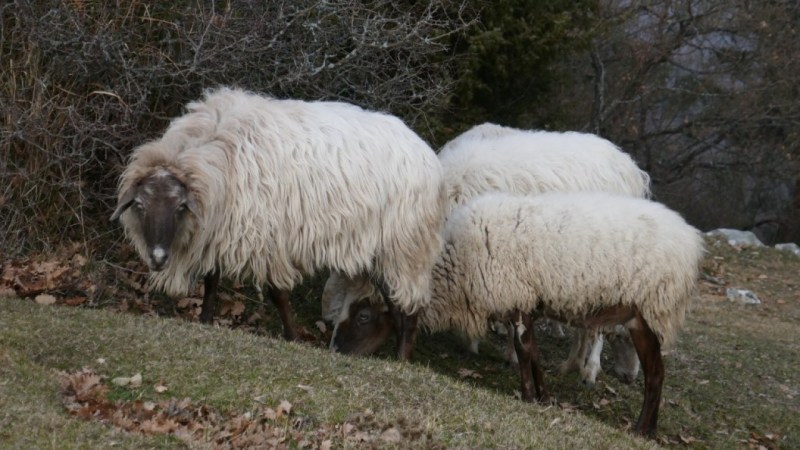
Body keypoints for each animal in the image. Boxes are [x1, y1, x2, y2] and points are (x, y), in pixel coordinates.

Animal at [111, 86, 450, 356]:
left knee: (407, 310)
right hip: (383, 251)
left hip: (405, 248)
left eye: (181, 206)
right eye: (139, 205)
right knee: (394, 306)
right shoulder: (221, 229)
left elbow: (277, 295)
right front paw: (205, 321)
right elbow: (212, 281)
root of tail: (425, 151)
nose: (157, 258)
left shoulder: (269, 239)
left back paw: (401, 360)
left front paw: (292, 337)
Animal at [324, 121, 648, 382]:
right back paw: (573, 362)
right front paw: (477, 341)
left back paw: (589, 367)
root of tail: (628, 163)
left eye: (363, 315)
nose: (334, 348)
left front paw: (507, 351)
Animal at [334, 192, 704, 438]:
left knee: (656, 374)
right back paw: (649, 429)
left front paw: (528, 397)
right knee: (656, 373)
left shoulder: (516, 294)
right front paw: (545, 397)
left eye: (363, 316)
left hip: (651, 311)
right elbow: (534, 353)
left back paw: (642, 430)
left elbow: (524, 351)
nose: (335, 349)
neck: (455, 265)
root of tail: (692, 241)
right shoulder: (524, 301)